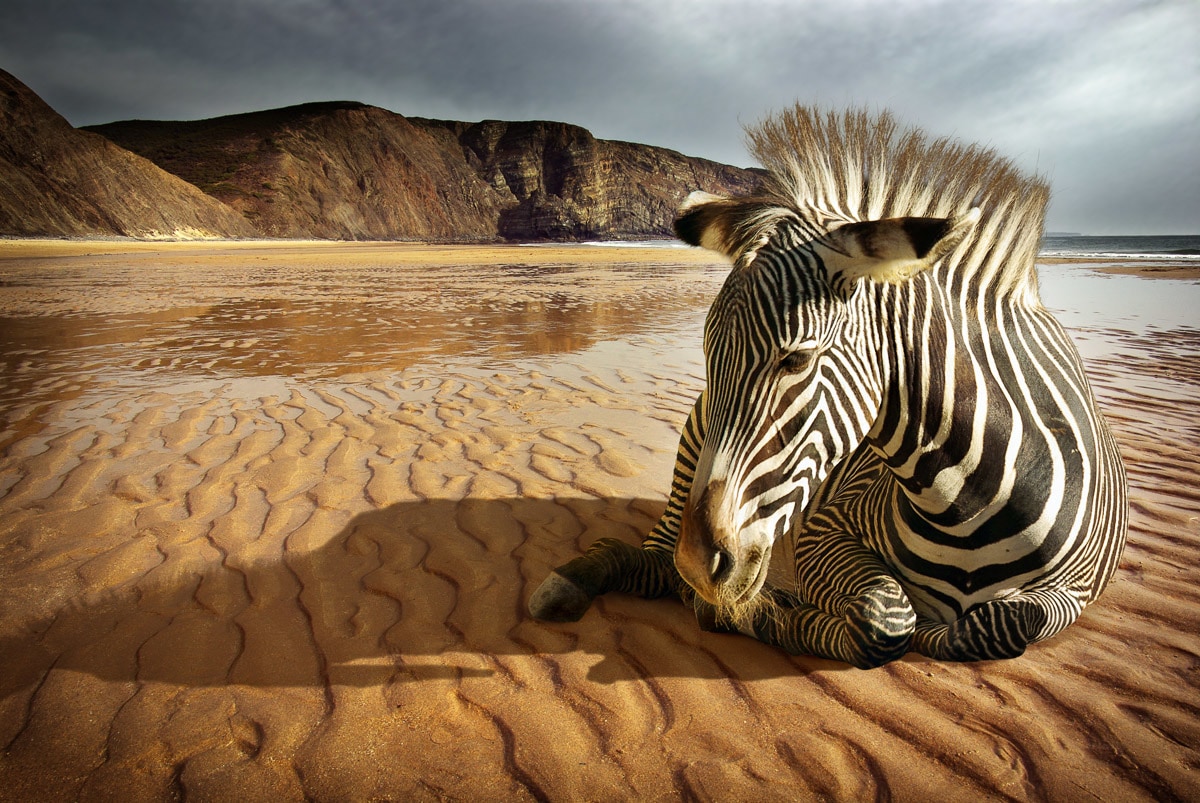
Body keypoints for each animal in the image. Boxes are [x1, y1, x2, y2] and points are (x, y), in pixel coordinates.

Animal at [530, 108, 1128, 672]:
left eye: (796, 359)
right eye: (707, 355)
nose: (700, 566)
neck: (969, 502)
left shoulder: (1075, 592)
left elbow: (1000, 624)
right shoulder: (825, 529)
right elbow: (885, 619)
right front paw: (758, 613)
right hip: (693, 444)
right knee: (656, 560)